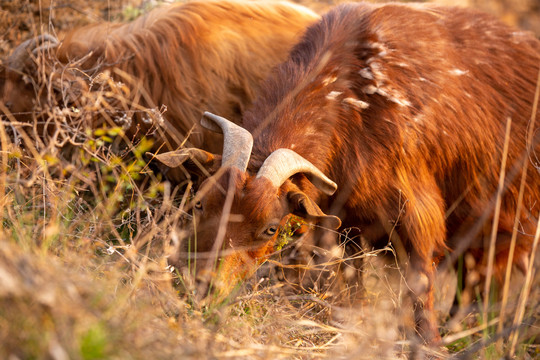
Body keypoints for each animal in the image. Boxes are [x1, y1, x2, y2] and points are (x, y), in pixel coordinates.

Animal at [157, 0, 540, 344]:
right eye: (199, 203)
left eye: (270, 228)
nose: (199, 284)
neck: (353, 97)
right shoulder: (349, 222)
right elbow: (353, 281)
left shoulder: (418, 213)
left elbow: (421, 286)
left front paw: (429, 344)